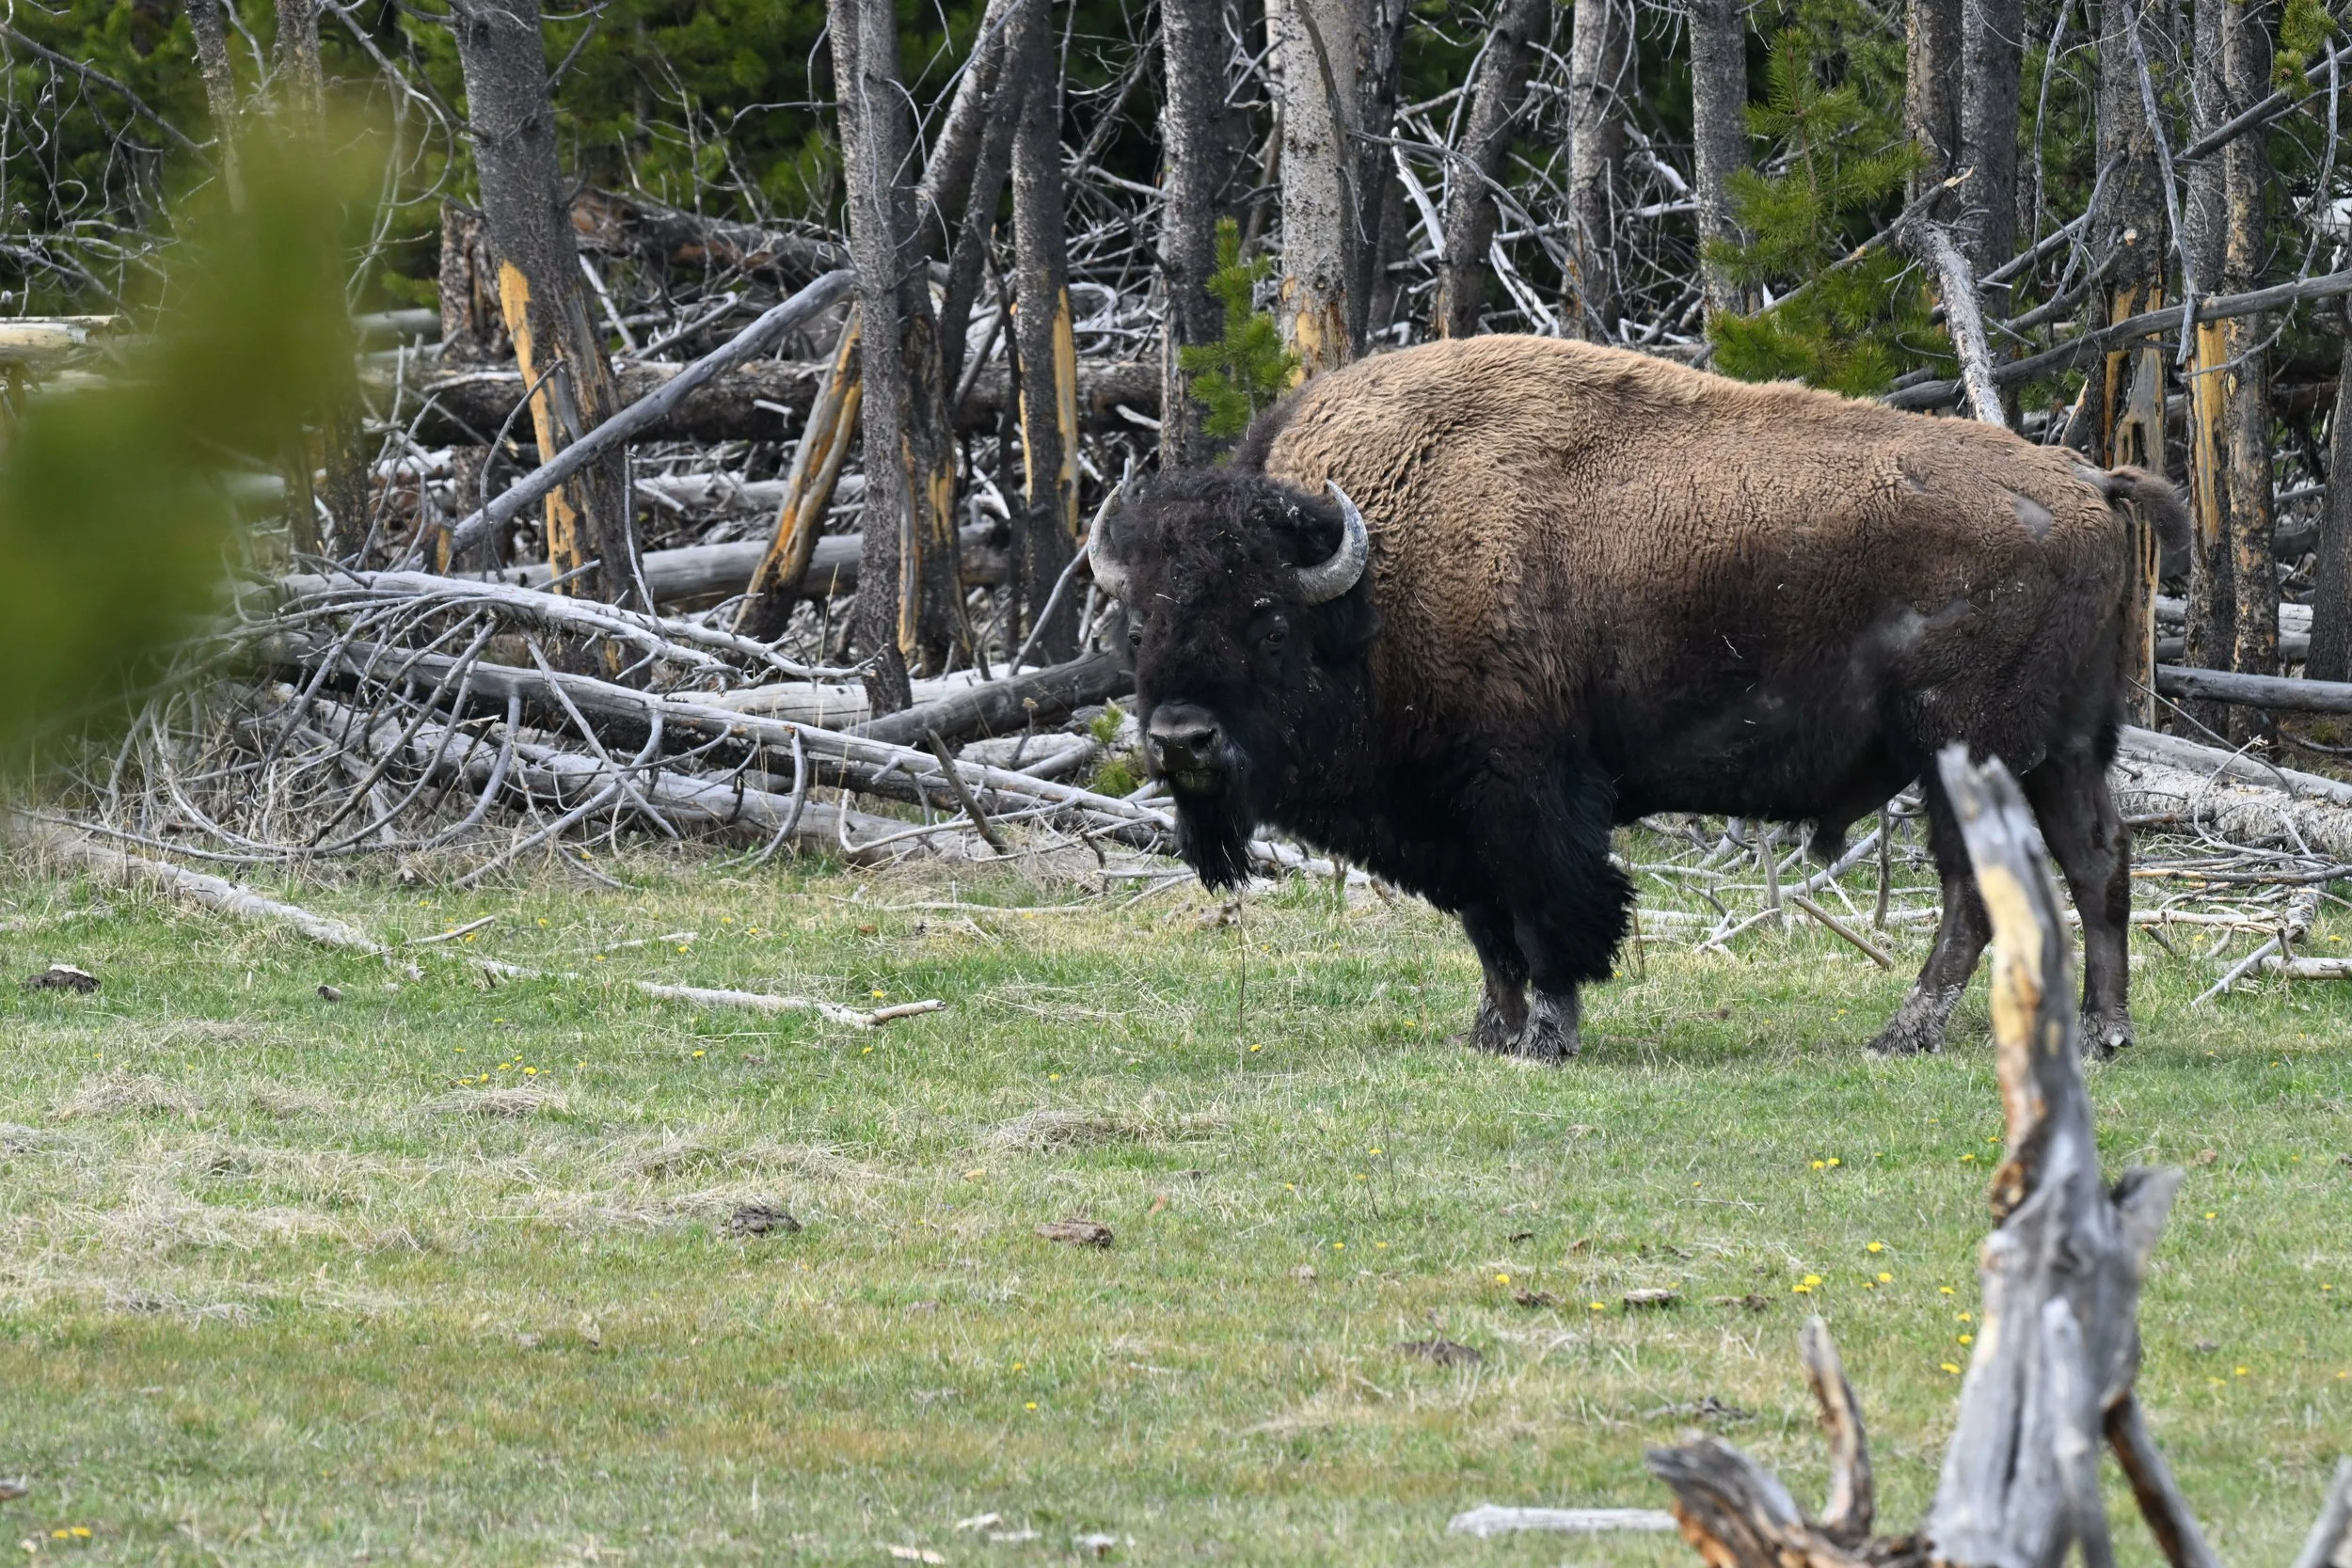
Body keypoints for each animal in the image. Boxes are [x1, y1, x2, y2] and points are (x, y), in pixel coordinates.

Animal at [1090, 335, 2187, 1060]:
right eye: (1139, 624)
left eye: (1268, 620)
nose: (1180, 737)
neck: (1376, 578)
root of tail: (2086, 479)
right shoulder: (1450, 815)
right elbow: (1486, 925)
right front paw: (1489, 1031)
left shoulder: (1522, 788)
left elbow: (1547, 913)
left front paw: (1545, 1034)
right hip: (2067, 744)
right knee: (2097, 859)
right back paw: (2106, 1031)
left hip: (1962, 748)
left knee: (1976, 887)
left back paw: (1902, 1032)